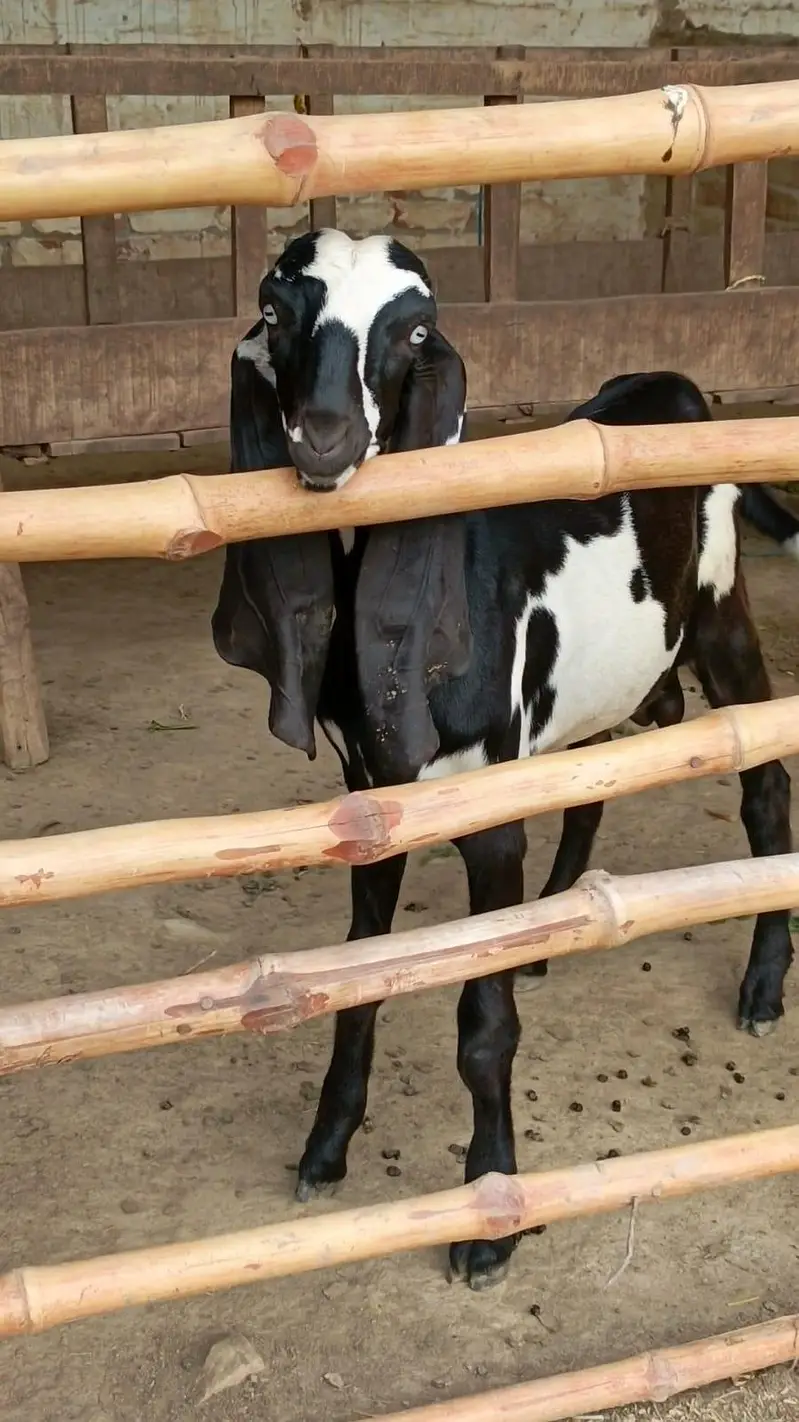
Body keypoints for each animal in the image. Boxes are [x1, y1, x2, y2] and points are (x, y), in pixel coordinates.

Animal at [212, 229, 794, 1291]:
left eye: (414, 330)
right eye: (275, 312)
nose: (323, 437)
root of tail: (671, 386)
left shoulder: (485, 824)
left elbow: (483, 1032)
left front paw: (489, 1223)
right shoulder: (374, 802)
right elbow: (360, 980)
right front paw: (325, 1150)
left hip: (721, 611)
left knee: (764, 783)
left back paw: (763, 984)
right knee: (591, 781)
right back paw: (550, 927)